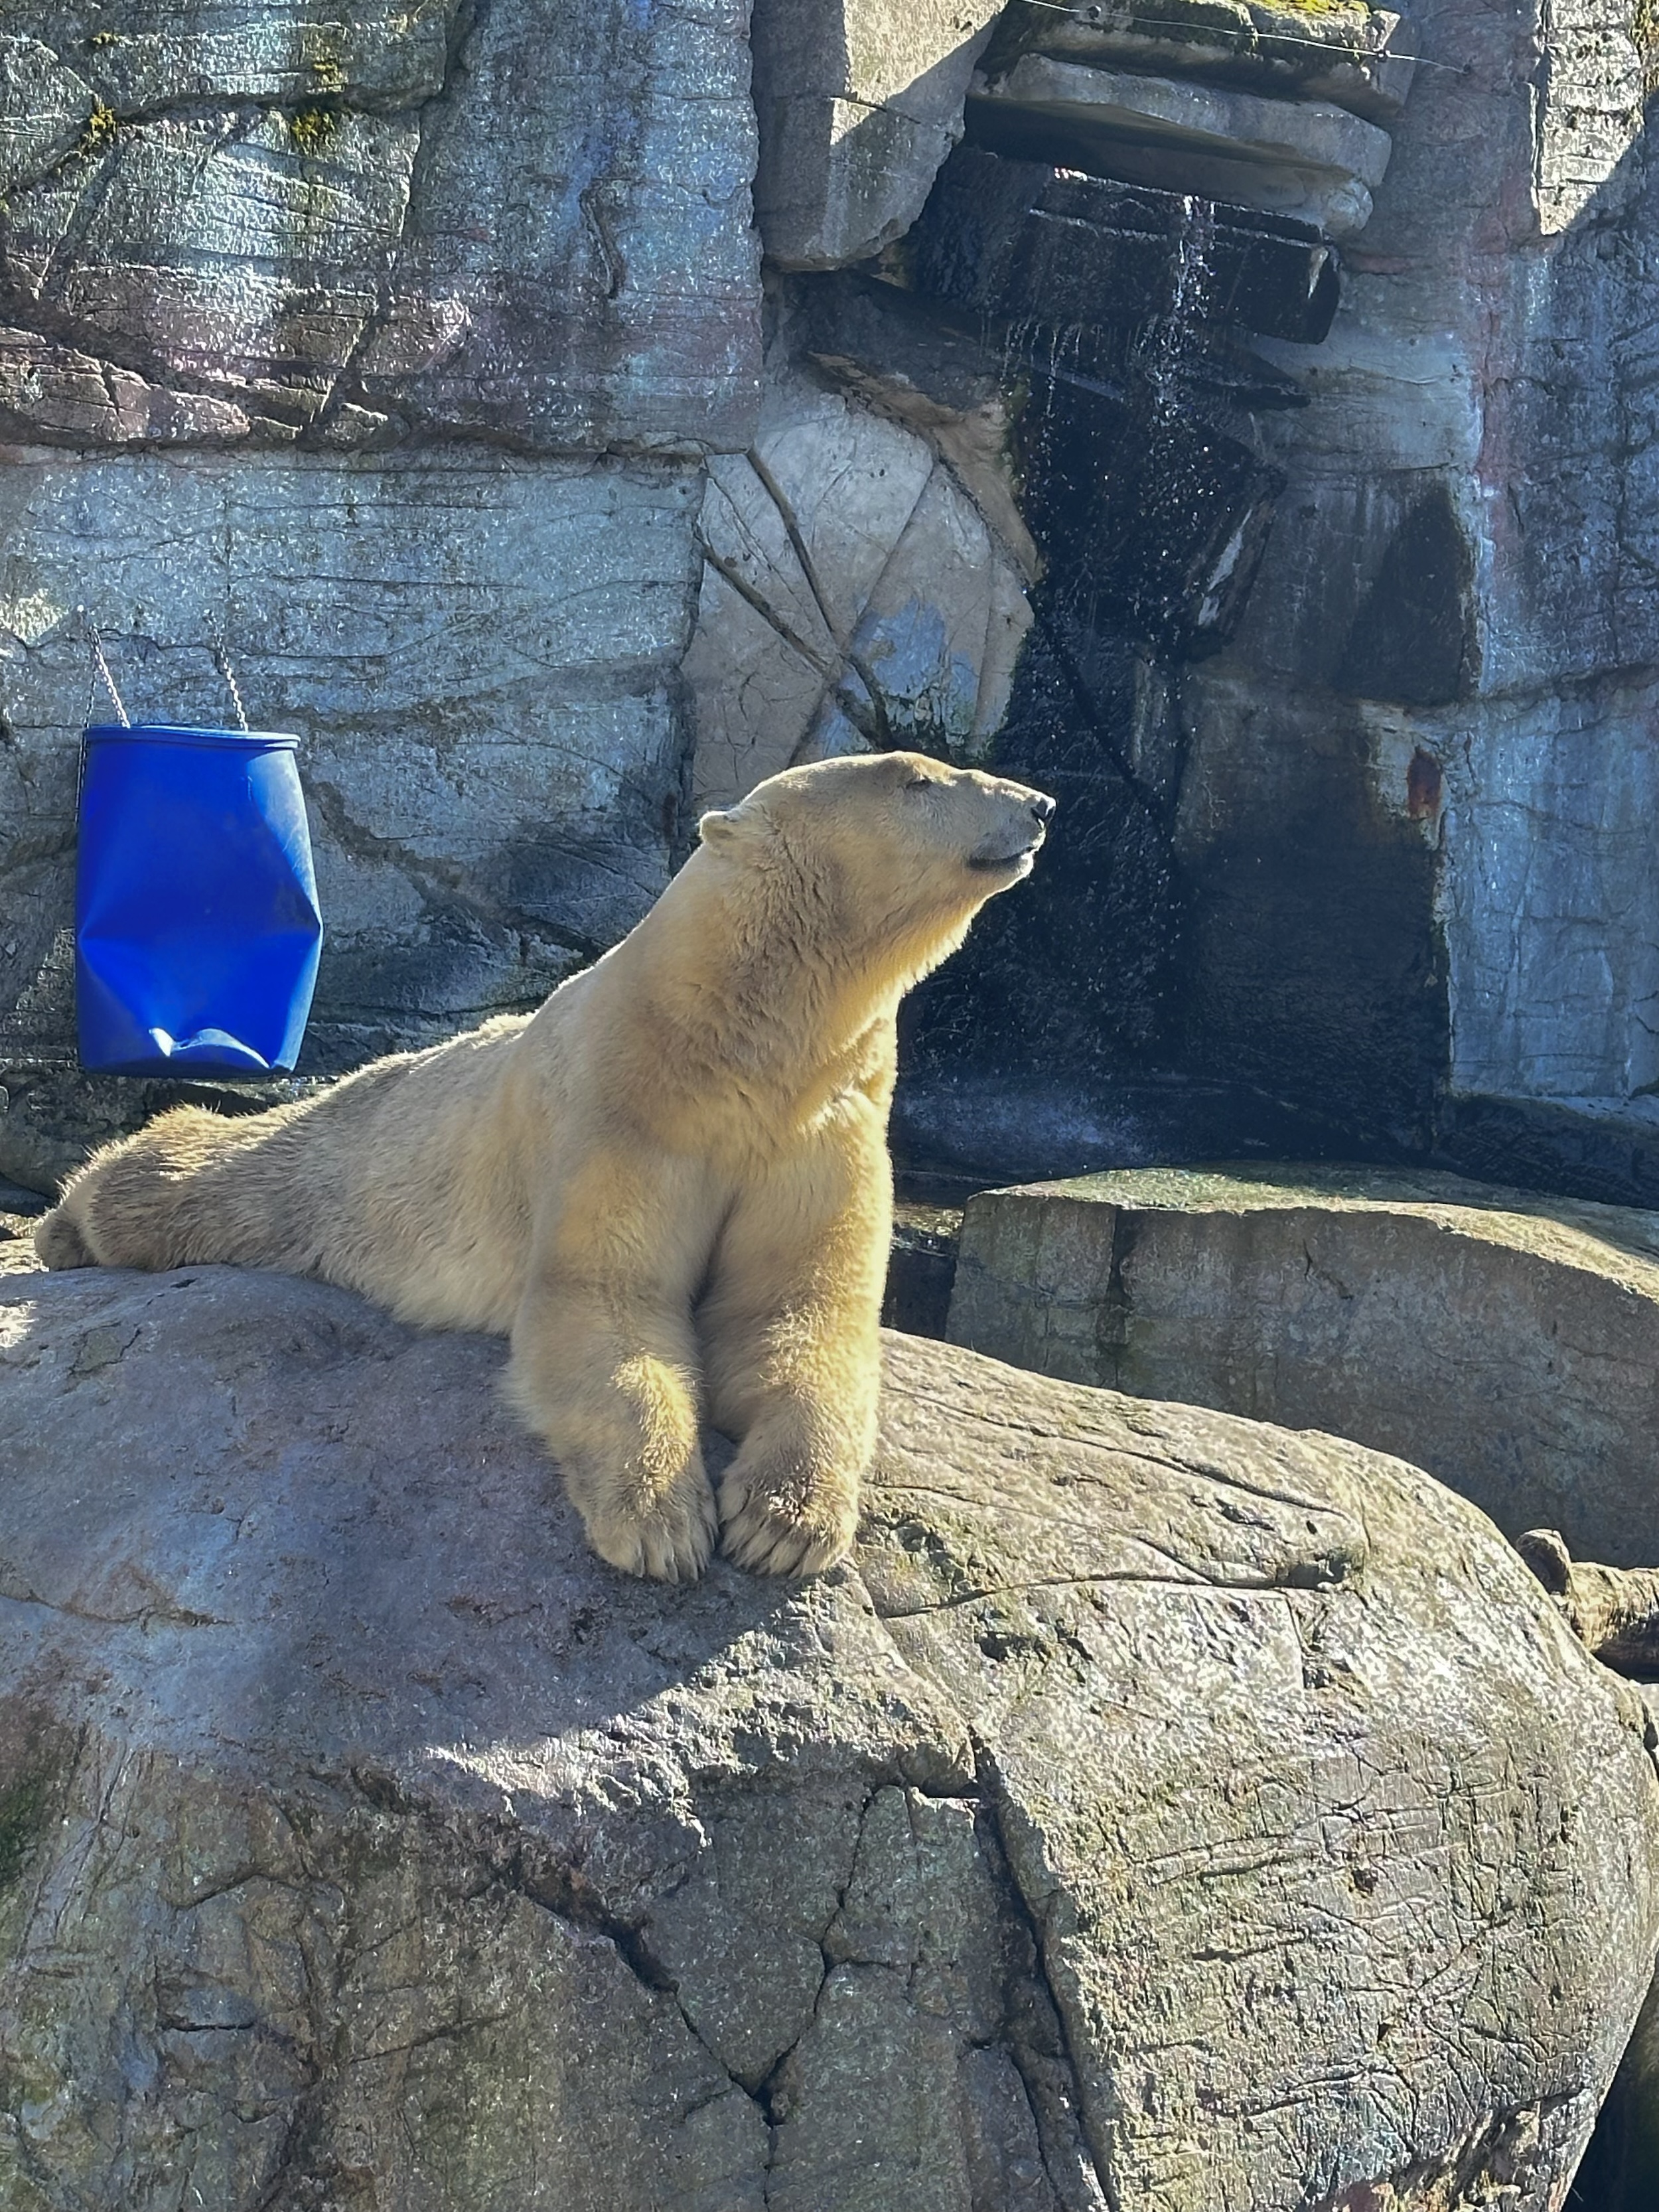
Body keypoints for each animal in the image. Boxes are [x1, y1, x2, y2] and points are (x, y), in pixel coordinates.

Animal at [36, 750, 1055, 1582]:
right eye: (916, 779)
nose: (1040, 803)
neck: (733, 1043)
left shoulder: (818, 1124)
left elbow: (795, 1310)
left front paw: (784, 1525)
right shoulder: (624, 1109)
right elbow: (603, 1298)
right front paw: (660, 1524)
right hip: (338, 1159)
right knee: (195, 1181)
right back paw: (64, 1229)